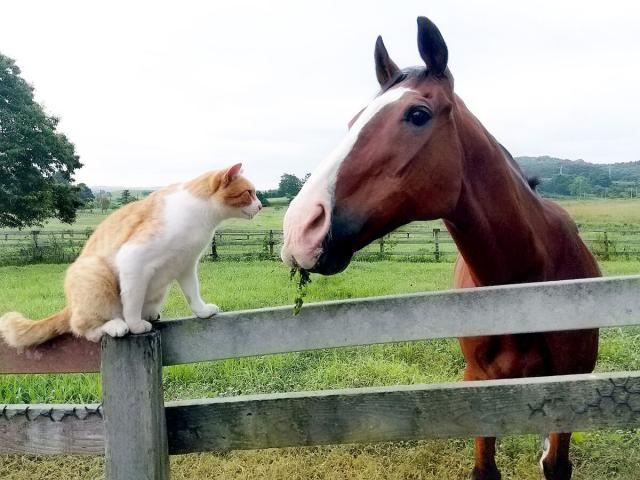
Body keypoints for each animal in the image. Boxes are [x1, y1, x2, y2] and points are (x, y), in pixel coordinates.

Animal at [0, 163, 262, 346]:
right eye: (249, 192)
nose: (261, 206)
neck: (202, 217)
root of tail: (69, 306)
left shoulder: (186, 265)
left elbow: (192, 294)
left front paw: (202, 311)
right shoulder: (134, 259)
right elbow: (132, 301)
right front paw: (136, 325)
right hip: (94, 271)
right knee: (83, 328)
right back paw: (117, 325)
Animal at [280, 15, 600, 480]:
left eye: (417, 114)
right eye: (354, 120)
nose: (300, 228)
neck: (528, 285)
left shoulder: (570, 388)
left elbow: (557, 464)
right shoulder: (479, 385)